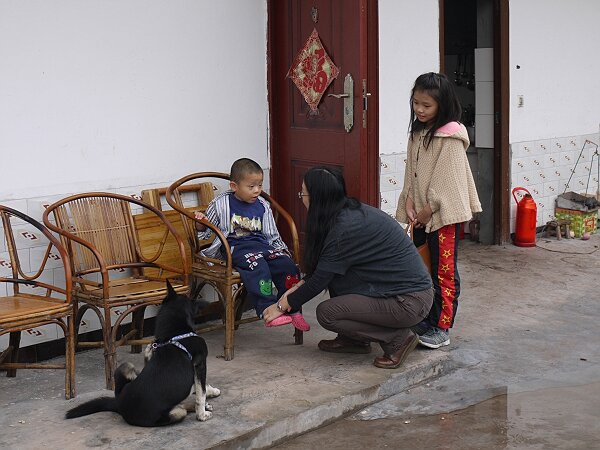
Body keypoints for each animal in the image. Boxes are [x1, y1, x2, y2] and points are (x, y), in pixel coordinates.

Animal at [65, 282, 220, 426]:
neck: (174, 334)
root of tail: (118, 403)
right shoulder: (200, 363)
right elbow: (200, 392)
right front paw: (202, 414)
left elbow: (199, 387)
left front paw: (209, 393)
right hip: (175, 413)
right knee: (181, 407)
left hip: (126, 366)